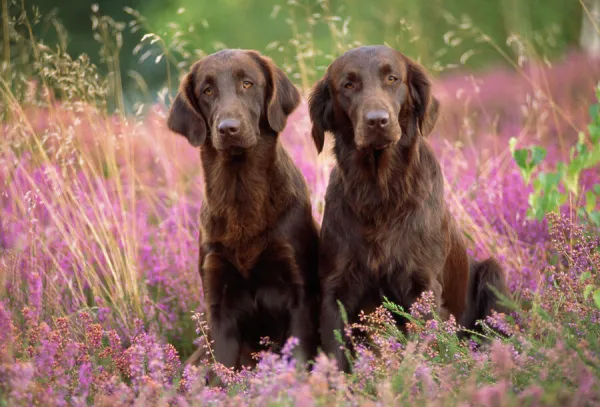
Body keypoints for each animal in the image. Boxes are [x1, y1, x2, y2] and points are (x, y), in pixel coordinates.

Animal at [166, 49, 322, 374]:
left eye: (248, 83)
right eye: (207, 90)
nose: (228, 128)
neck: (241, 193)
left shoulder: (299, 295)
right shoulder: (219, 303)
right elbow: (223, 371)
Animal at [308, 44, 508, 372]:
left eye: (392, 78)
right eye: (348, 85)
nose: (377, 121)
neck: (379, 192)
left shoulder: (422, 286)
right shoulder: (335, 288)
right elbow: (335, 350)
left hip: (493, 273)